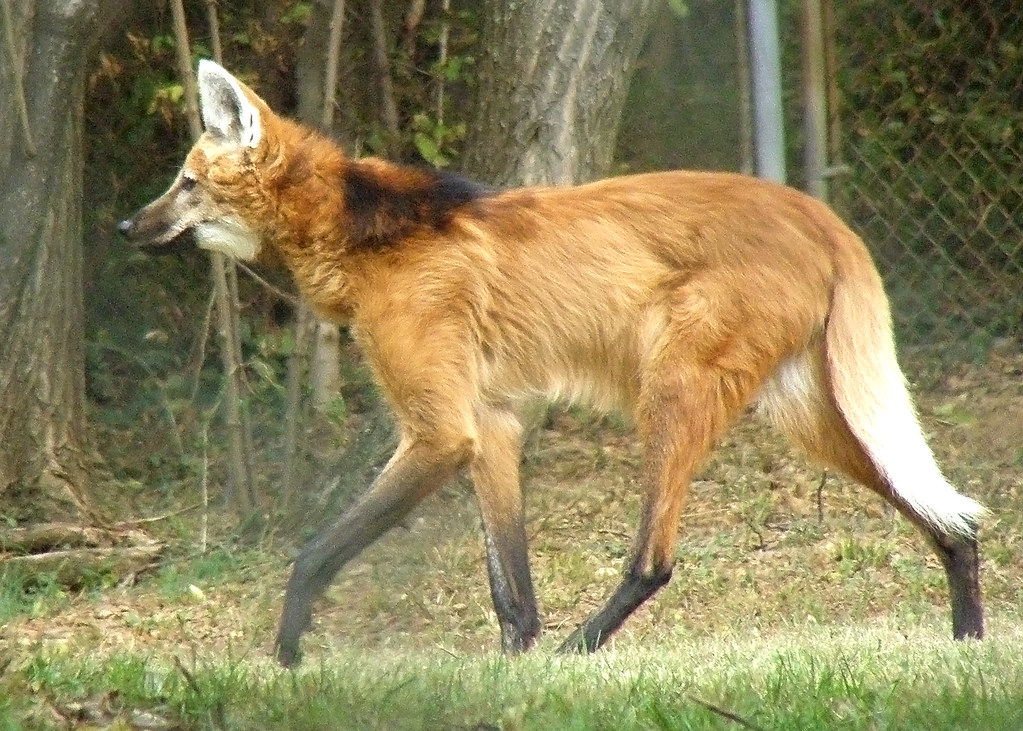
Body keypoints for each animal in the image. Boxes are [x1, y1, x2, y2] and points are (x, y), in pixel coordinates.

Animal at [119, 60, 987, 667]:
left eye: (185, 183)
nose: (128, 225)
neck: (368, 235)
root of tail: (819, 213)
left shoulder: (441, 433)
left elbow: (311, 555)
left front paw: (285, 662)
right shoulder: (491, 424)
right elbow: (510, 587)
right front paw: (515, 669)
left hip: (673, 390)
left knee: (653, 560)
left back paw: (583, 648)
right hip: (805, 409)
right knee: (948, 513)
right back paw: (968, 639)